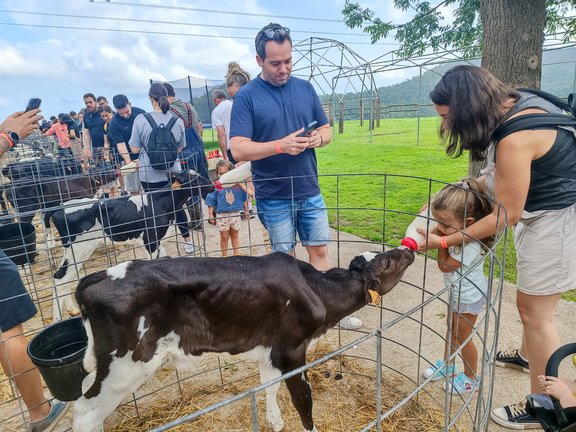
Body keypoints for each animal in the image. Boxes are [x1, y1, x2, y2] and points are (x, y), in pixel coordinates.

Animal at [50, 170, 214, 322]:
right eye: (195, 179)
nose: (212, 184)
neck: (159, 203)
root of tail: (60, 207)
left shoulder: (156, 241)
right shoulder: (150, 240)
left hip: (72, 250)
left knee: (60, 276)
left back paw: (71, 310)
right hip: (80, 248)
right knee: (61, 278)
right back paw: (57, 319)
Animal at [73, 250, 414, 432]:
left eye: (385, 253)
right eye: (387, 263)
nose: (408, 249)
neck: (316, 290)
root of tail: (100, 275)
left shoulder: (272, 350)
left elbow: (269, 386)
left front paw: (275, 422)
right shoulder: (292, 350)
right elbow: (303, 399)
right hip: (126, 364)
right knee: (85, 411)